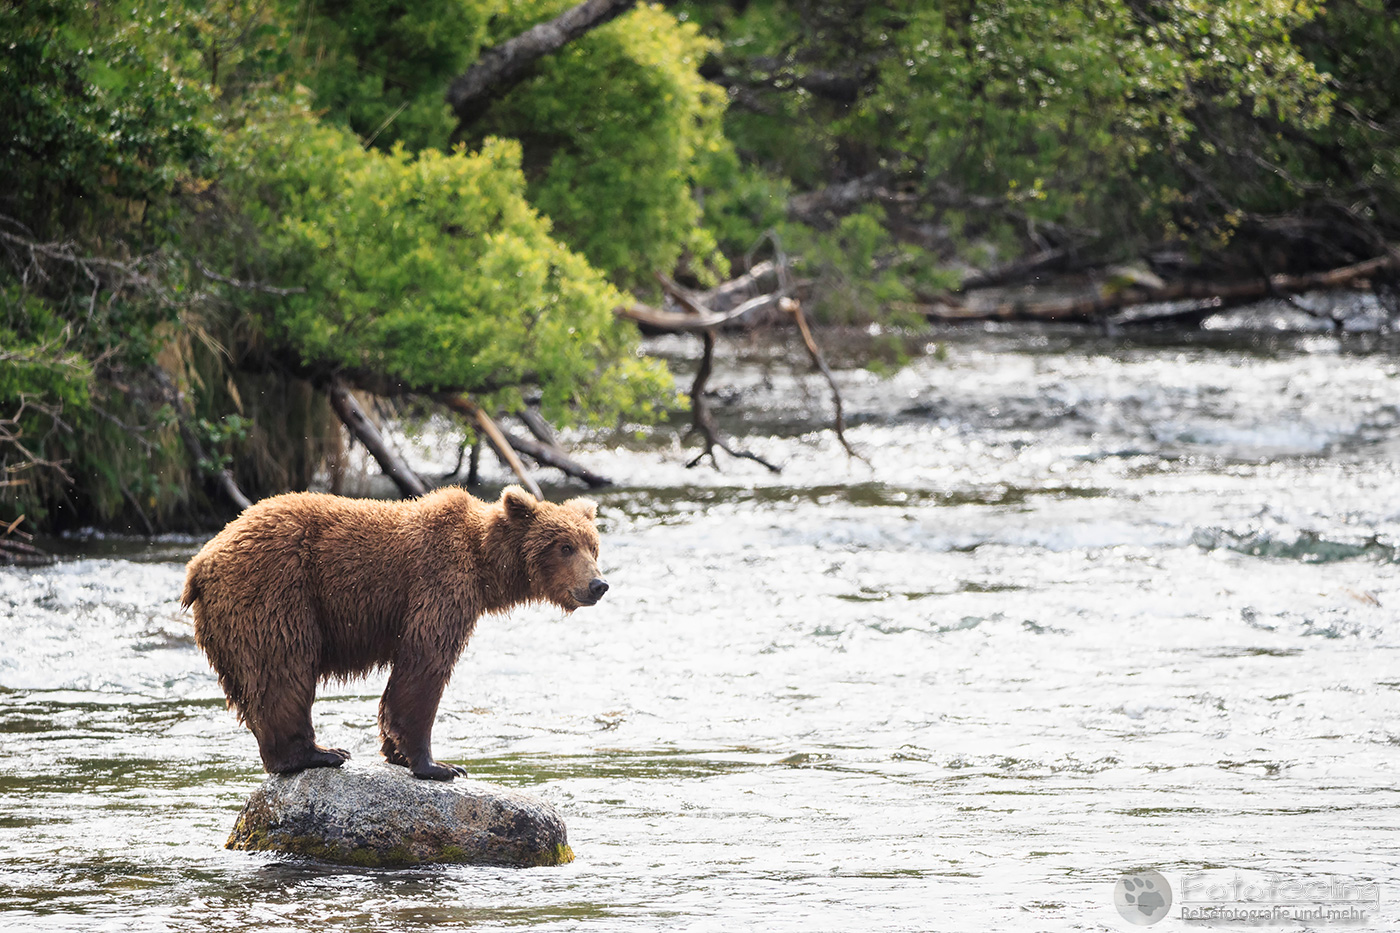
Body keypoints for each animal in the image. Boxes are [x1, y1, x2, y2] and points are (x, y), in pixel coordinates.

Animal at [180, 485, 607, 780]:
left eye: (593, 546)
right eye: (564, 546)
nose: (598, 585)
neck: (484, 565)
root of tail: (200, 562)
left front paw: (398, 753)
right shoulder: (438, 583)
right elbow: (424, 664)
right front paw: (438, 765)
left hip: (224, 626)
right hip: (275, 588)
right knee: (283, 666)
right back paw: (320, 753)